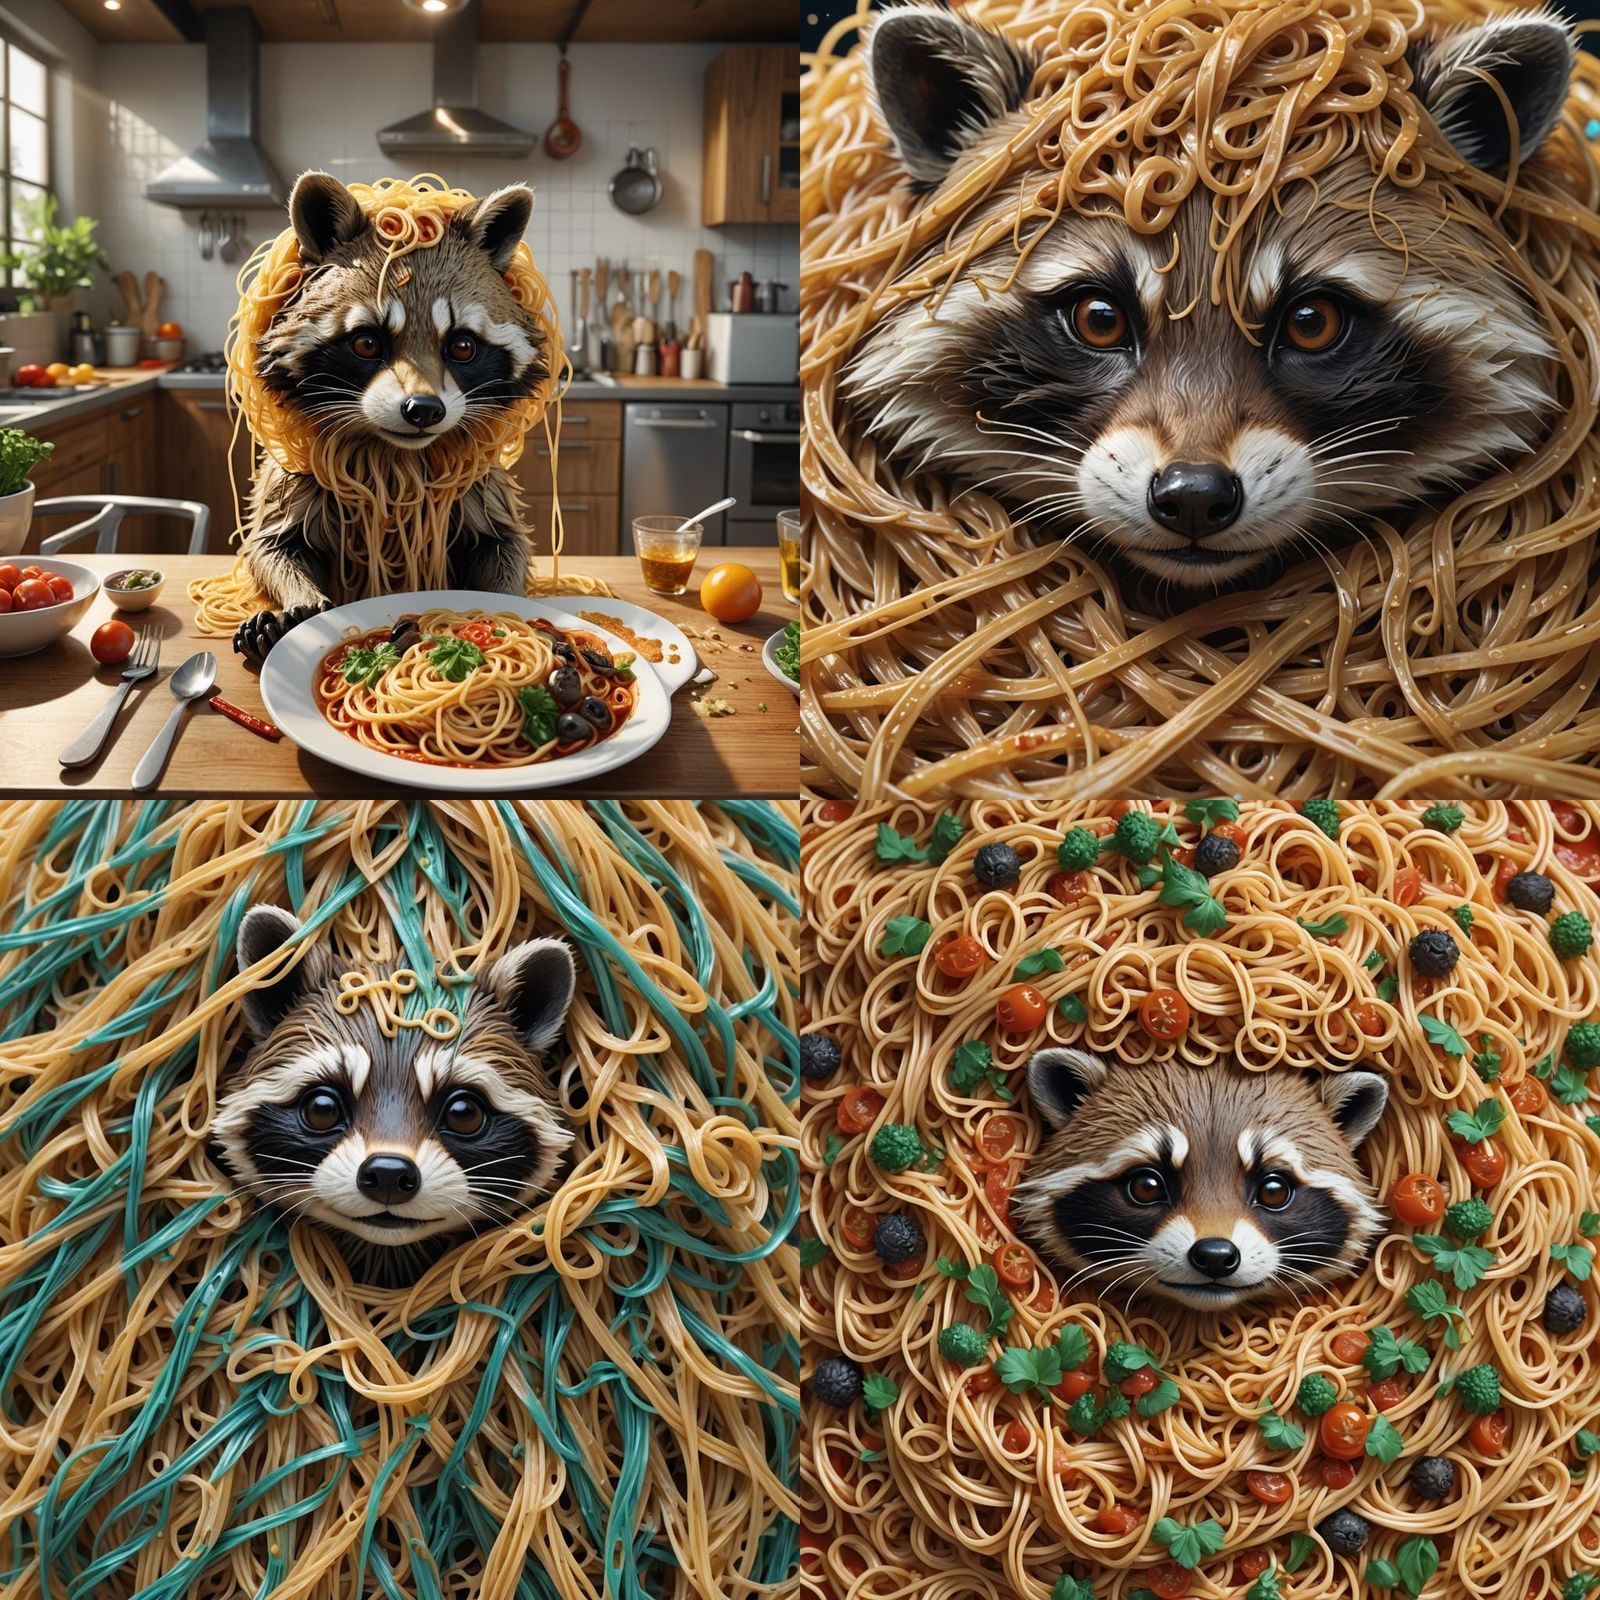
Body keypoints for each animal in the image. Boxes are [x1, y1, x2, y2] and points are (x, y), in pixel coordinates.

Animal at [233, 170, 549, 662]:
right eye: (366, 343)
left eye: (462, 346)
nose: (424, 410)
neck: (394, 457)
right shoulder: (296, 474)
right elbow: (271, 545)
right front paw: (299, 599)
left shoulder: (477, 482)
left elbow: (504, 541)